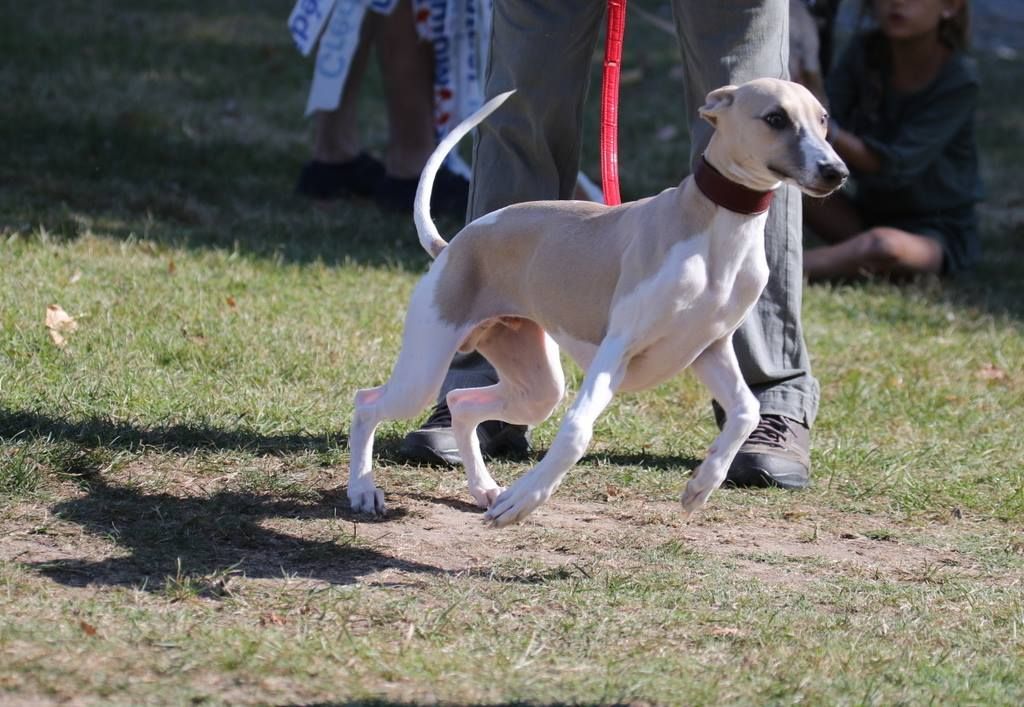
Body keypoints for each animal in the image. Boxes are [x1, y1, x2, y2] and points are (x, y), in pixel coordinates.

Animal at [348, 79, 843, 524]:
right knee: (368, 401)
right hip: (424, 369)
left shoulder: (709, 348)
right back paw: (364, 489)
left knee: (463, 402)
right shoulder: (618, 350)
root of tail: (452, 244)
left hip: (534, 383)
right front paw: (523, 500)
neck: (718, 225)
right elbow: (575, 432)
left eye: (823, 120)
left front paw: (703, 484)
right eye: (775, 118)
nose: (836, 172)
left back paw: (484, 488)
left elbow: (746, 411)